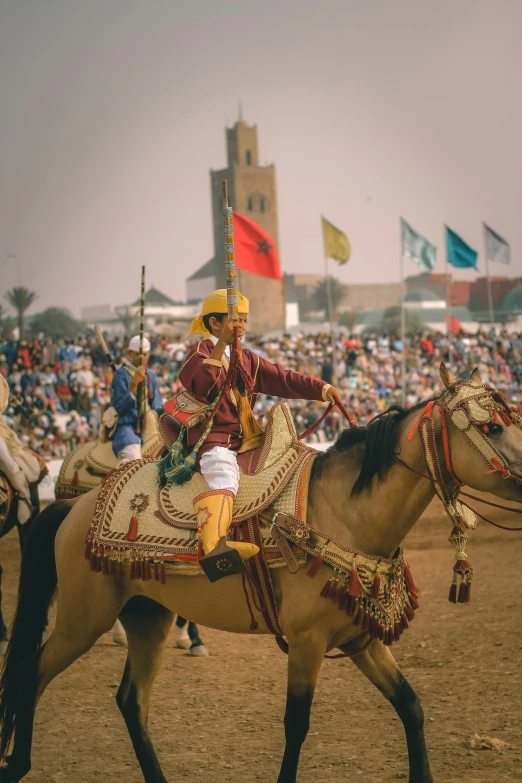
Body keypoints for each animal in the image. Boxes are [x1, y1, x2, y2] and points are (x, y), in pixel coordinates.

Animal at [1, 368, 520, 783]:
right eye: (491, 426)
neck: (344, 514)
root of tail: (73, 508)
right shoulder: (308, 641)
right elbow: (297, 725)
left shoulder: (360, 637)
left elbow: (410, 705)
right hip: (81, 621)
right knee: (30, 674)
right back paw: (18, 764)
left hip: (147, 617)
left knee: (131, 701)